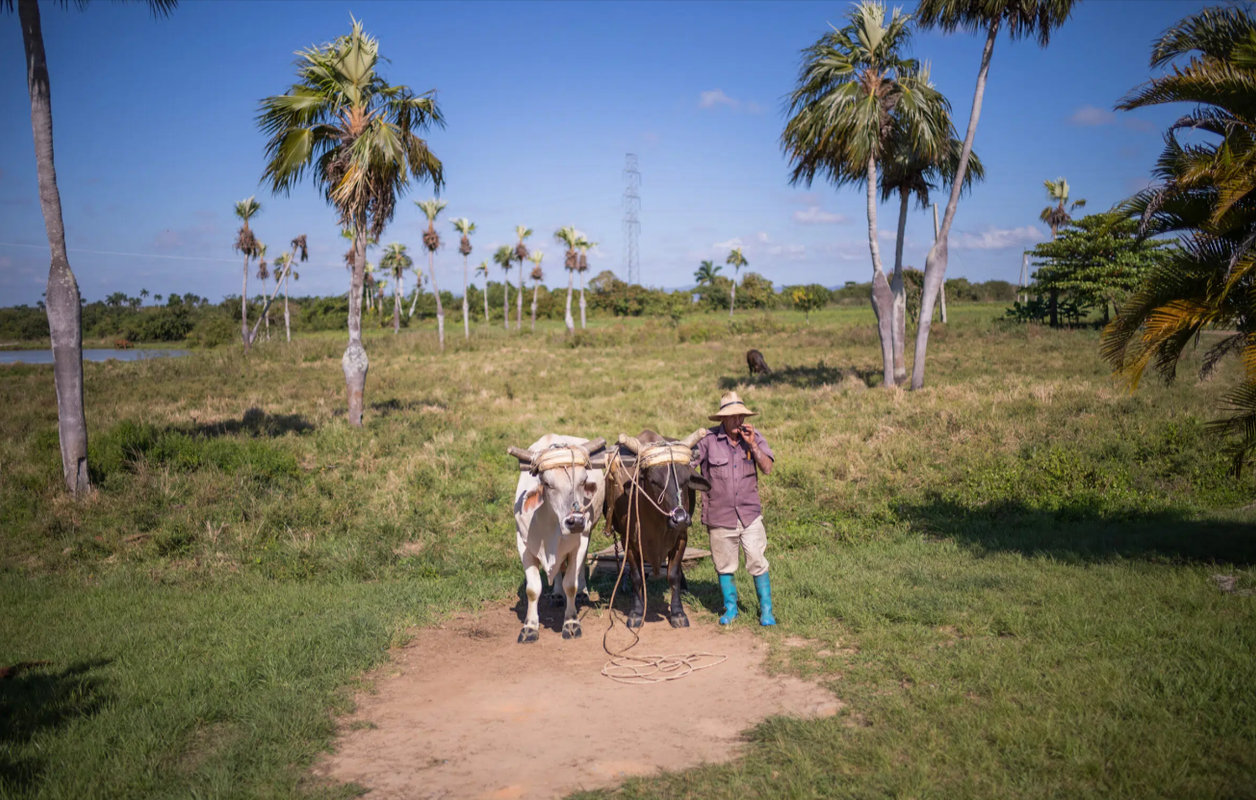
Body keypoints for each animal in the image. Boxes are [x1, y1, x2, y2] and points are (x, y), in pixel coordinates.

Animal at [510, 435, 607, 643]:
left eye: (583, 480)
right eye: (548, 484)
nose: (576, 521)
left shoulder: (580, 542)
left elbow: (570, 584)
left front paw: (571, 623)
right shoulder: (523, 545)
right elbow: (533, 589)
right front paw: (530, 627)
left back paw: (582, 593)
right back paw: (556, 594)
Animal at [607, 429, 712, 629]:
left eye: (686, 481)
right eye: (654, 481)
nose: (680, 518)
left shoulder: (682, 537)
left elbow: (673, 574)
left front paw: (678, 613)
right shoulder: (628, 541)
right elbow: (636, 576)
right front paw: (637, 612)